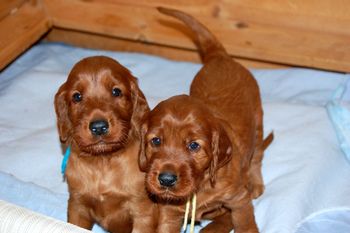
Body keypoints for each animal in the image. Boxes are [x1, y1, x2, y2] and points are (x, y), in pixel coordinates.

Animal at [54, 56, 157, 233]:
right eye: (77, 96)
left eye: (116, 91)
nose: (98, 127)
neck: (103, 161)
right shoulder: (77, 205)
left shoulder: (143, 211)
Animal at [138, 7, 272, 233]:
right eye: (156, 141)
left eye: (194, 145)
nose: (166, 179)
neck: (200, 184)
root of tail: (219, 56)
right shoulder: (169, 213)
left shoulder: (238, 199)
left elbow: (244, 224)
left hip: (258, 119)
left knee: (257, 154)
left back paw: (254, 181)